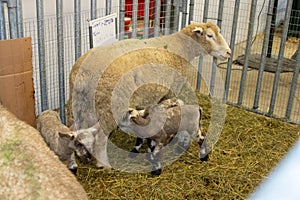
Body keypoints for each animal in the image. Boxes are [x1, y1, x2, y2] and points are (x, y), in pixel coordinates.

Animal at [67, 20, 230, 169]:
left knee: (73, 130)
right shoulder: (171, 90)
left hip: (82, 104)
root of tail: (82, 74)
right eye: (210, 35)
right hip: (110, 106)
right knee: (101, 138)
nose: (228, 52)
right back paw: (104, 165)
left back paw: (77, 158)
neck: (181, 48)